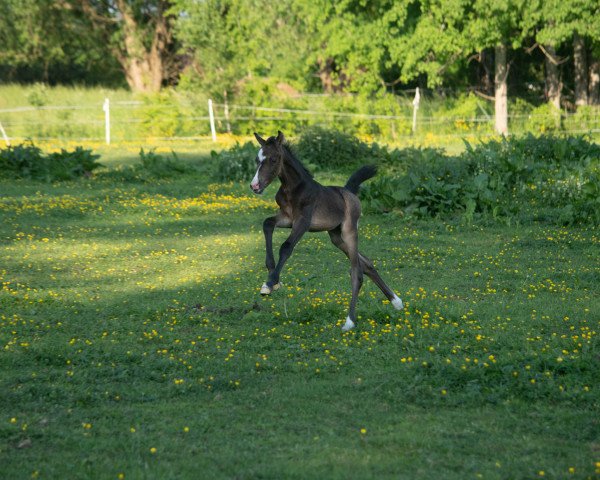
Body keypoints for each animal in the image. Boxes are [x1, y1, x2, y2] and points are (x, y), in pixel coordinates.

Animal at [248, 132, 404, 334]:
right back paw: (396, 301)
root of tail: (349, 192)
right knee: (367, 263)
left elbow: (286, 247)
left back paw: (350, 321)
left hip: (349, 232)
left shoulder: (303, 222)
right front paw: (272, 277)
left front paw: (270, 283)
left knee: (357, 272)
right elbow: (267, 224)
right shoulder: (287, 219)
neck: (294, 189)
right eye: (257, 159)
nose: (255, 186)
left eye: (273, 159)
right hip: (336, 237)